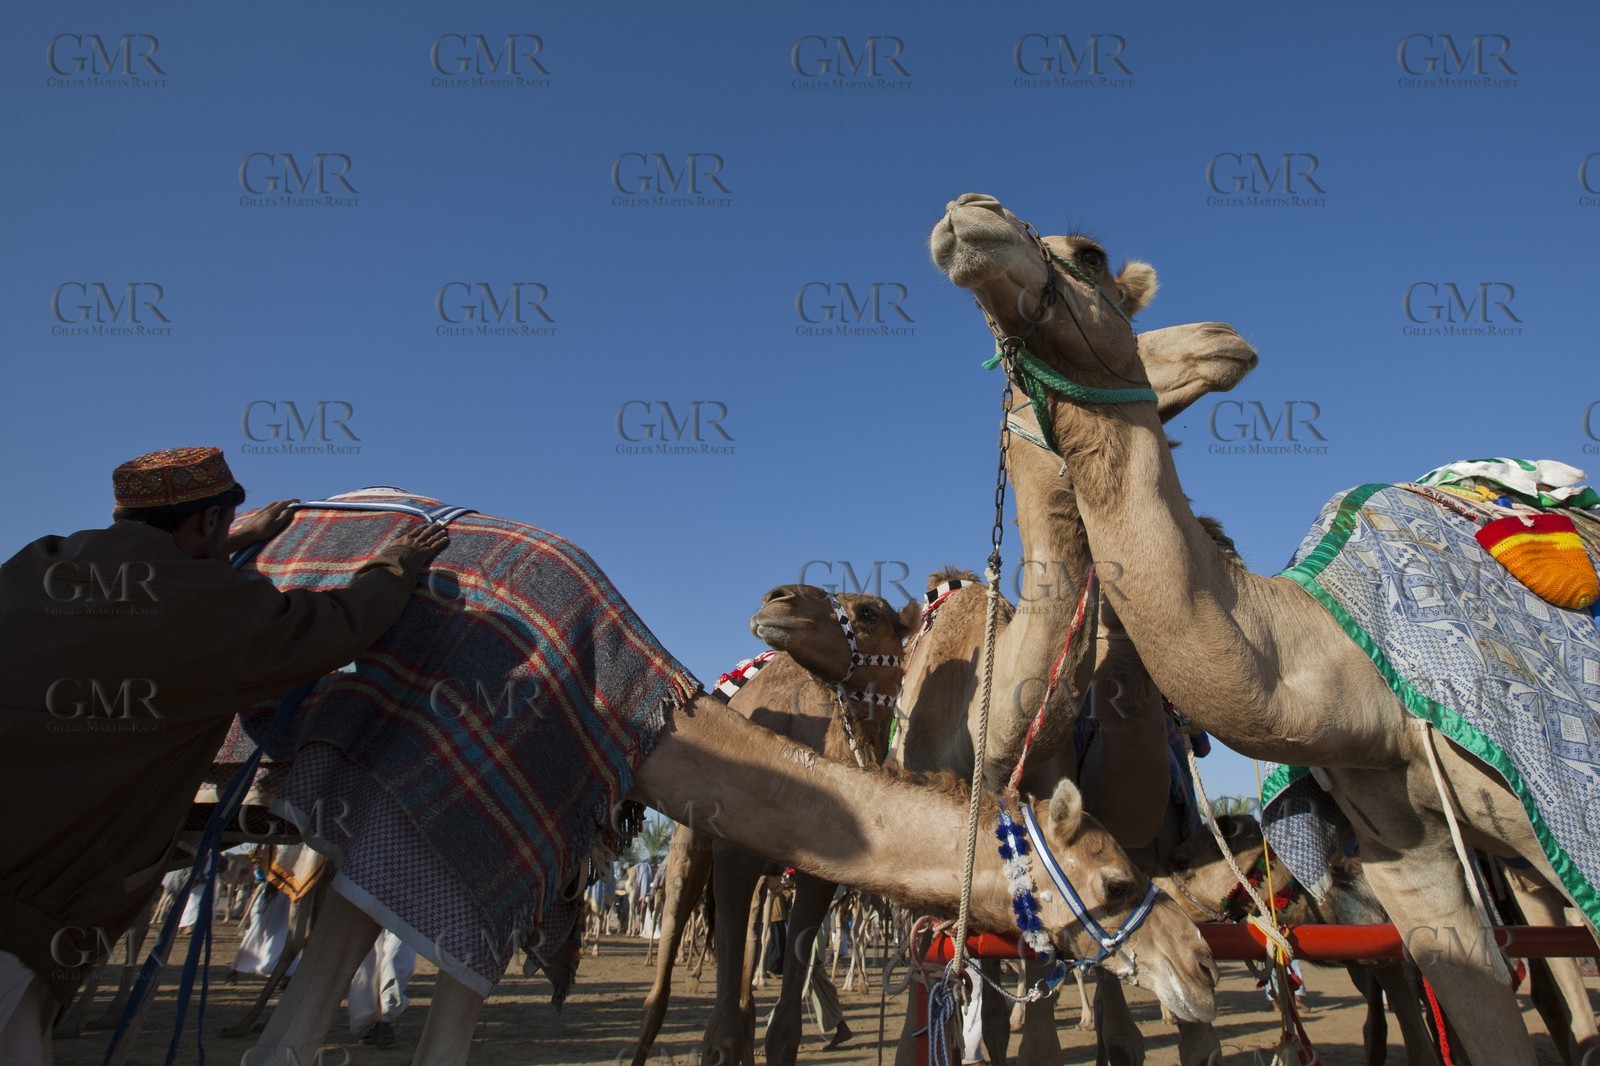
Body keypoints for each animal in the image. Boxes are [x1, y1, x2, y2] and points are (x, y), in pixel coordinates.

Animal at [243, 561, 1218, 1066]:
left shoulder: (813, 875)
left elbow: (780, 998)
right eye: (1117, 880)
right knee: (675, 961)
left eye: (869, 607)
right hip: (678, 864)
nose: (1201, 965)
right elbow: (722, 1011)